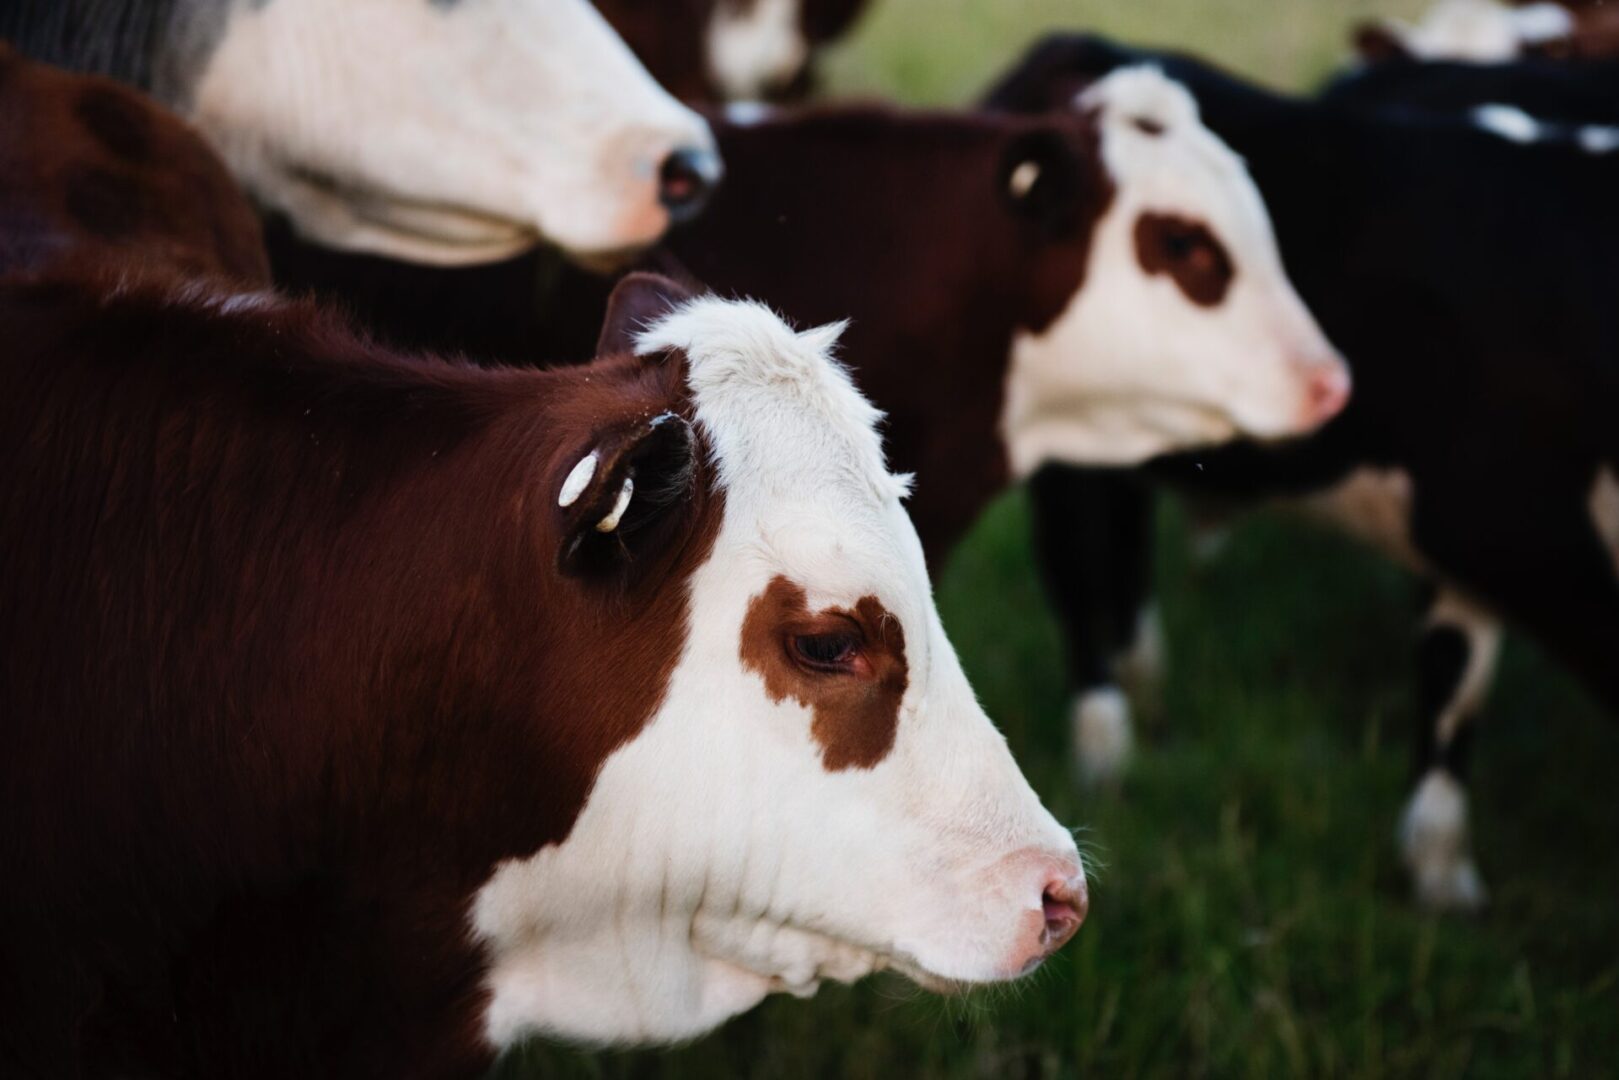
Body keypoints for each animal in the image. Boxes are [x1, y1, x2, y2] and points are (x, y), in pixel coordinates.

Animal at [984, 31, 1619, 913]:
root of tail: (1077, 45)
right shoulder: (1516, 532)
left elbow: (1451, 682)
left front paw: (1441, 880)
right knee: (1080, 587)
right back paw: (1107, 762)